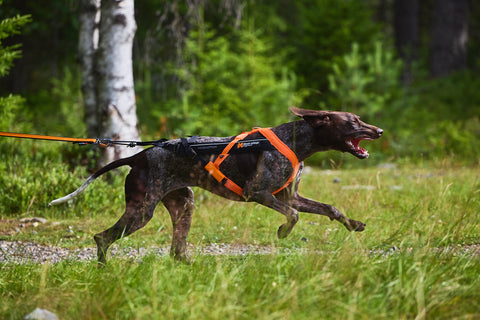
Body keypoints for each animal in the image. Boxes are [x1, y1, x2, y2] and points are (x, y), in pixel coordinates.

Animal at [50, 107, 384, 264]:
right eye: (353, 122)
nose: (379, 131)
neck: (296, 143)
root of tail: (139, 156)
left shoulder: (291, 195)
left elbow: (330, 208)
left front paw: (354, 225)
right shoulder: (258, 193)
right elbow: (294, 215)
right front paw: (283, 232)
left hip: (184, 203)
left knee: (177, 251)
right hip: (142, 210)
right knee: (102, 237)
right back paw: (104, 268)